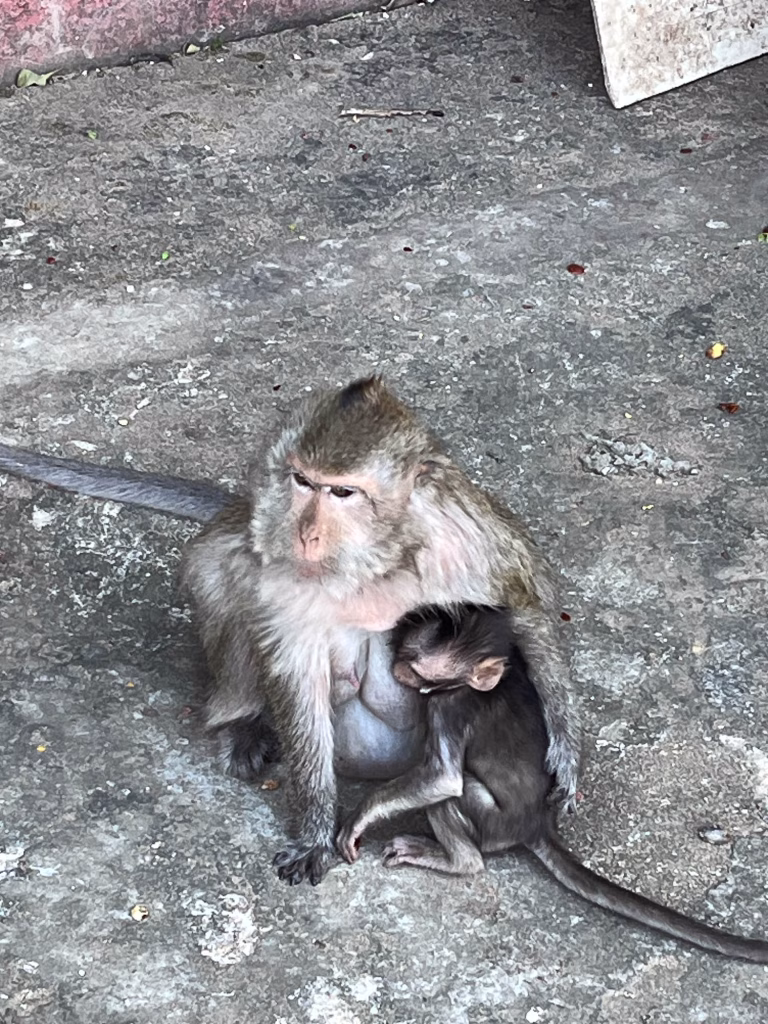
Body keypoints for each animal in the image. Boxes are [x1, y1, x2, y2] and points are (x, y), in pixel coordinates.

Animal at [0, 376, 580, 886]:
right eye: (304, 482)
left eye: (343, 492)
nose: (307, 532)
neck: (377, 558)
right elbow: (295, 668)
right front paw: (317, 828)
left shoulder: (464, 534)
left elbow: (523, 604)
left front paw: (565, 752)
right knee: (222, 570)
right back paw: (243, 722)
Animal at [336, 604, 768, 963]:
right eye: (402, 656)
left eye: (416, 668)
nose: (396, 671)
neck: (497, 675)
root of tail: (539, 824)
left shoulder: (449, 704)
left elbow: (443, 778)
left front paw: (359, 816)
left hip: (495, 825)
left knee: (454, 798)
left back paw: (457, 861)